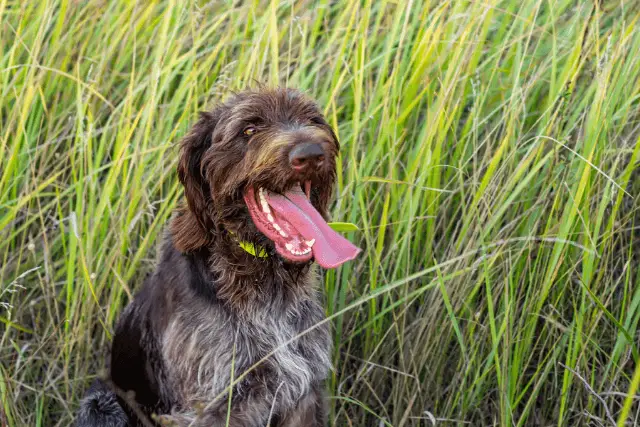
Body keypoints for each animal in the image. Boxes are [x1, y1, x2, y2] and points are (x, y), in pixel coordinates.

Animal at [76, 88, 360, 427]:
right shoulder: (209, 408)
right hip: (101, 405)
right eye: (249, 130)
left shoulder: (302, 393)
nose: (311, 153)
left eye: (312, 120)